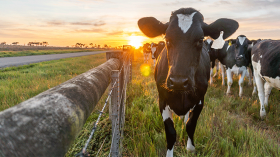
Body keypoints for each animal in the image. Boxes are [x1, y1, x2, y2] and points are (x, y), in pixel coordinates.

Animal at [137, 7, 237, 156]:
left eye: (201, 40)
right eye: (167, 38)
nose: (178, 81)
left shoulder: (200, 100)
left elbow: (191, 125)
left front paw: (190, 148)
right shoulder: (162, 100)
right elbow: (170, 132)